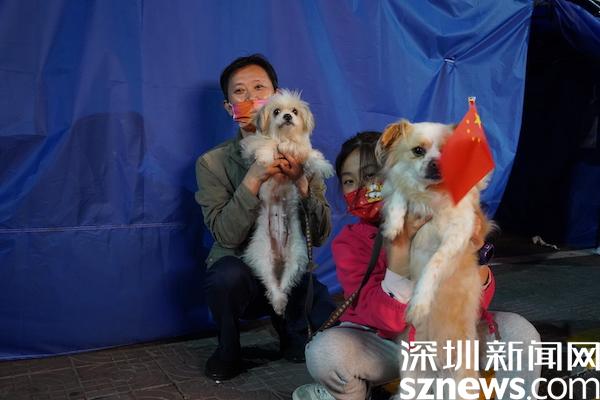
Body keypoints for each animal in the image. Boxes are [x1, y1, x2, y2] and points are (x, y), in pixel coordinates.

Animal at [239, 90, 334, 315]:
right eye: (276, 112)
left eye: (294, 111)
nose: (288, 116)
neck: (285, 137)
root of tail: (279, 258)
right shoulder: (252, 144)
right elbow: (266, 143)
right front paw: (266, 156)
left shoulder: (300, 153)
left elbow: (308, 154)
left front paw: (323, 166)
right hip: (262, 254)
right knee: (271, 283)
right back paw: (278, 301)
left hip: (297, 256)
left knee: (284, 283)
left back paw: (281, 301)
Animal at [375, 119, 493, 398]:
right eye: (418, 151)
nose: (437, 163)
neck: (431, 195)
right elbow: (399, 191)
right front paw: (394, 224)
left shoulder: (458, 233)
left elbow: (434, 265)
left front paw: (419, 304)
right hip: (411, 380)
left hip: (460, 381)